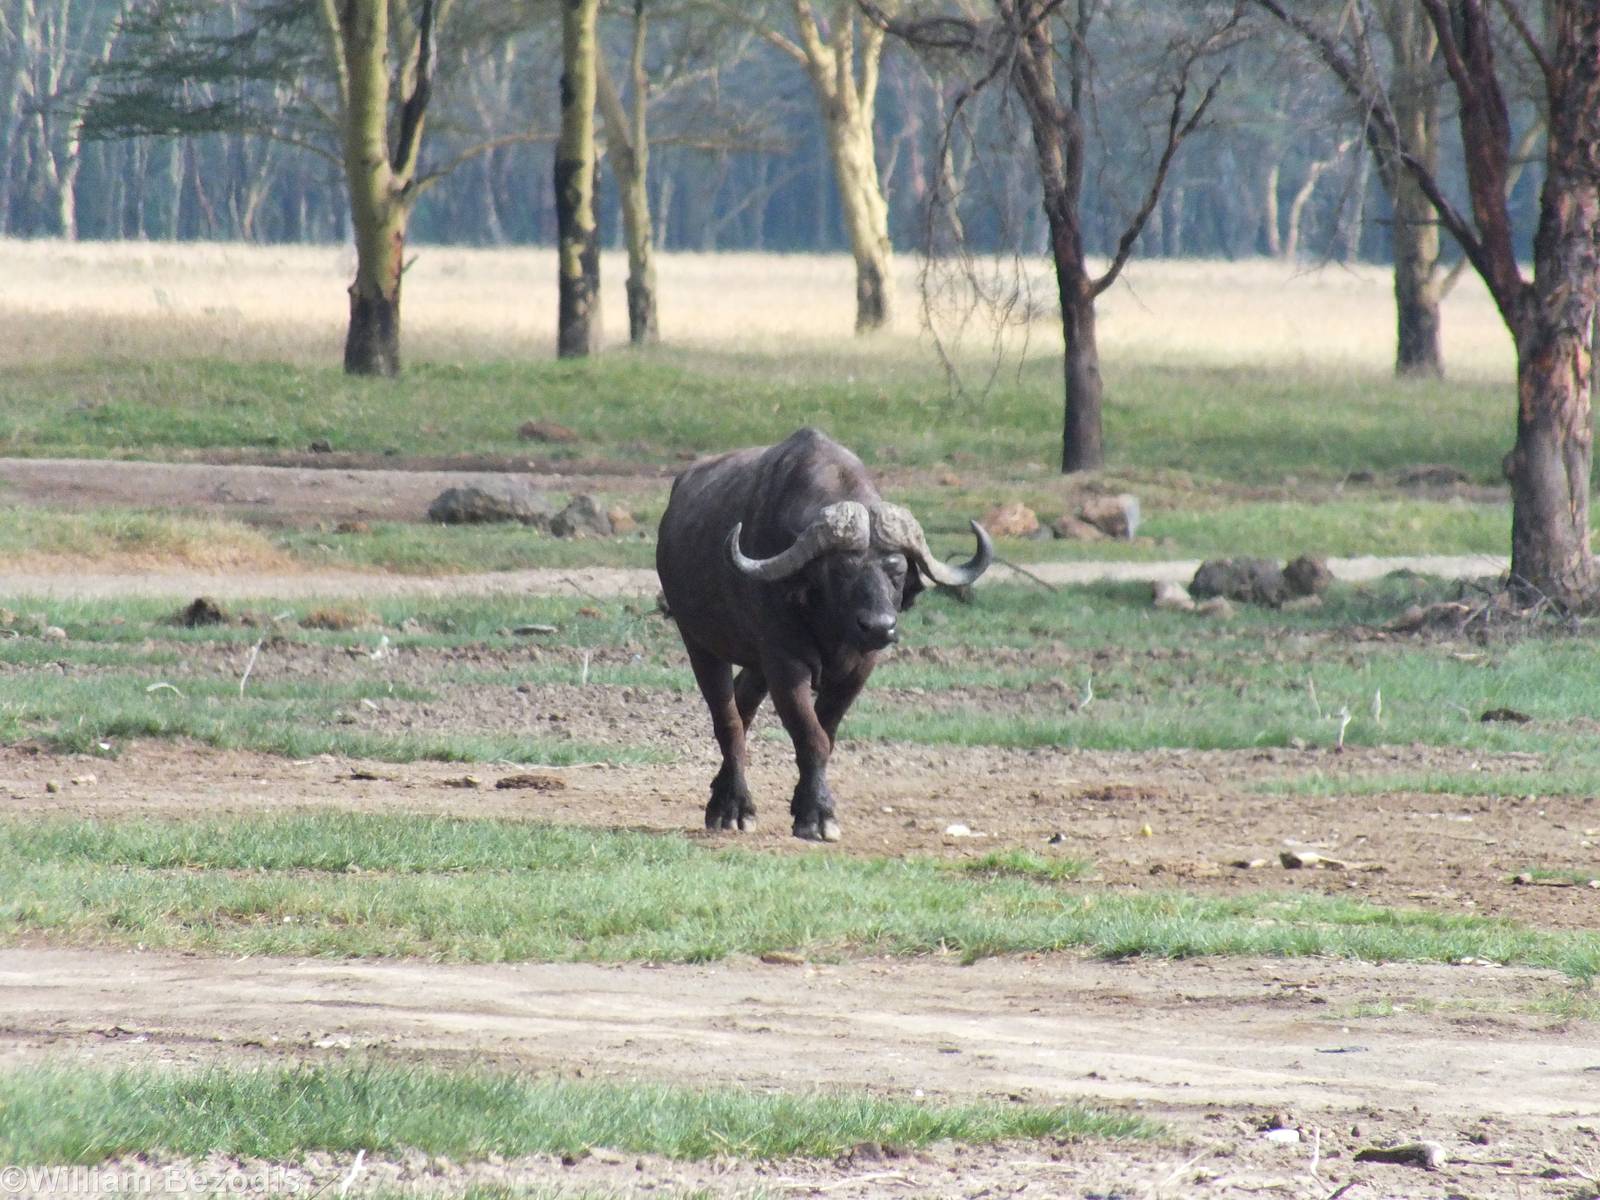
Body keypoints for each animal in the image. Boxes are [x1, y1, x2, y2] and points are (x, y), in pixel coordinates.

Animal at [656, 428, 992, 841]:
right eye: (842, 570)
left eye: (896, 570)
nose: (880, 626)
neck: (833, 628)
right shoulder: (785, 663)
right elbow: (810, 734)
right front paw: (817, 816)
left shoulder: (859, 667)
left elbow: (826, 733)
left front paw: (806, 805)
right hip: (700, 643)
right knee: (728, 719)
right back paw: (732, 808)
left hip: (756, 662)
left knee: (743, 704)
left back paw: (721, 796)